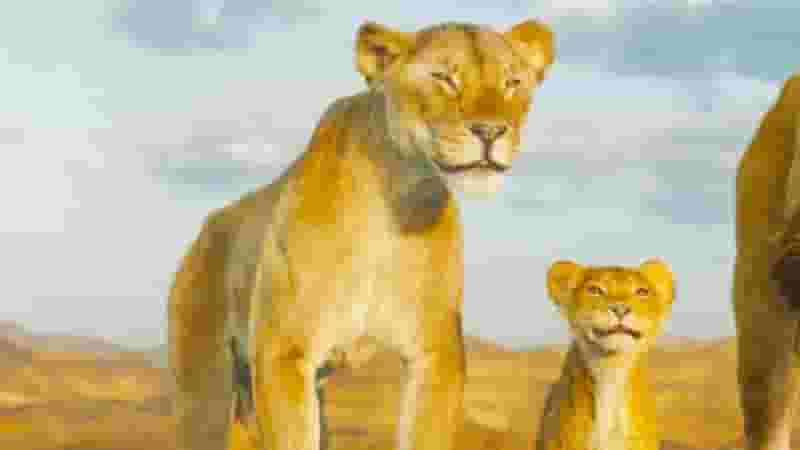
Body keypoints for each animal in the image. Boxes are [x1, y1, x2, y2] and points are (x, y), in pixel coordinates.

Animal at [167, 19, 555, 450]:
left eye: (512, 82)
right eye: (443, 78)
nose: (490, 131)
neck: (395, 203)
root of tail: (207, 228)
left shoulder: (436, 352)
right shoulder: (283, 350)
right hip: (205, 396)